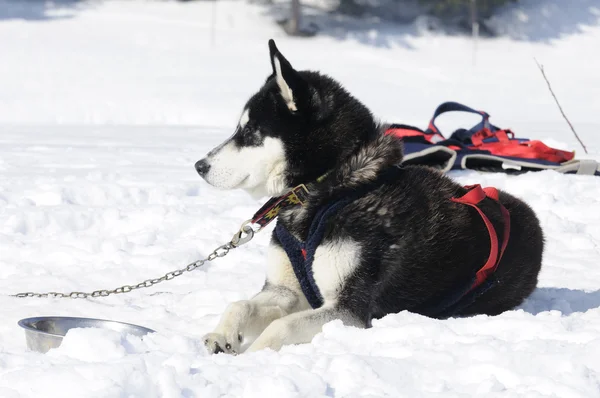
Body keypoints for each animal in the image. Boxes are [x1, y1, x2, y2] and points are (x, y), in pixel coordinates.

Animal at [196, 38, 544, 352]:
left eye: (250, 132)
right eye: (240, 128)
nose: (200, 166)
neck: (329, 189)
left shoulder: (349, 308)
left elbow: (282, 325)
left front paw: (254, 355)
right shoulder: (285, 290)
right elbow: (240, 304)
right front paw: (223, 335)